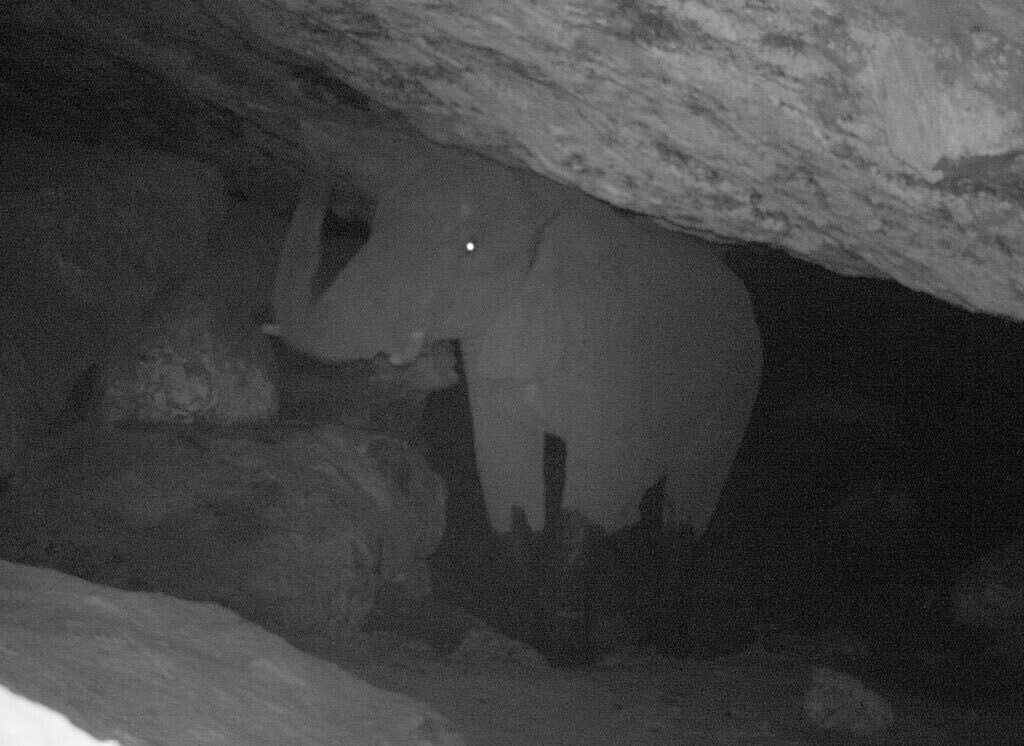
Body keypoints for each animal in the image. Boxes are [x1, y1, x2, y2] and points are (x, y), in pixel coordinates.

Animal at [272, 151, 761, 548]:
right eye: (372, 228)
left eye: (470, 247)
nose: (320, 173)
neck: (535, 201)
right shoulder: (494, 360)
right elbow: (507, 480)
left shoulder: (613, 359)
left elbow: (588, 503)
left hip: (736, 393)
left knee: (687, 498)